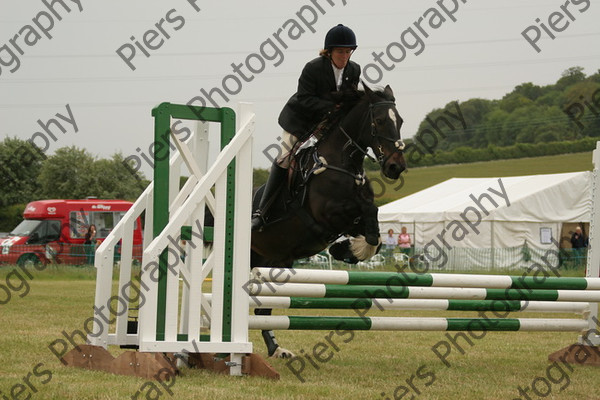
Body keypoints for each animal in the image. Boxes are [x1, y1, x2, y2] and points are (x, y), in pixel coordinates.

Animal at [248, 84, 408, 360]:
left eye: (399, 121)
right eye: (378, 121)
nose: (395, 166)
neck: (342, 163)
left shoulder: (350, 221)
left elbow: (373, 231)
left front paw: (348, 250)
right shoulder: (329, 214)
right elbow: (369, 210)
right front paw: (350, 248)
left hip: (273, 261)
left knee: (263, 310)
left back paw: (276, 349)